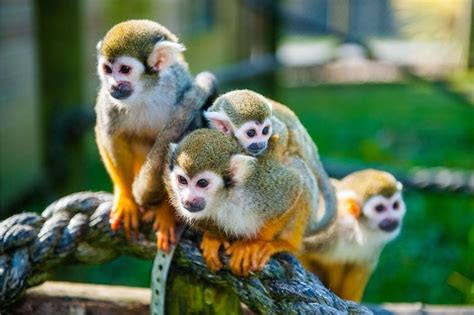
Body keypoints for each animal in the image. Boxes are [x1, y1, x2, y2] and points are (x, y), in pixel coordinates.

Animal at [93, 20, 218, 252]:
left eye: (124, 70)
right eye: (107, 69)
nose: (112, 85)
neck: (145, 91)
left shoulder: (179, 91)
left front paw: (167, 214)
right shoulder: (108, 101)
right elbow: (109, 135)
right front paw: (126, 199)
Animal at [167, 129, 318, 276]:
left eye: (202, 183)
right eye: (182, 180)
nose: (188, 199)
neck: (224, 197)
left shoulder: (260, 189)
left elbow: (296, 185)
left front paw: (254, 244)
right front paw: (214, 238)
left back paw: (287, 243)